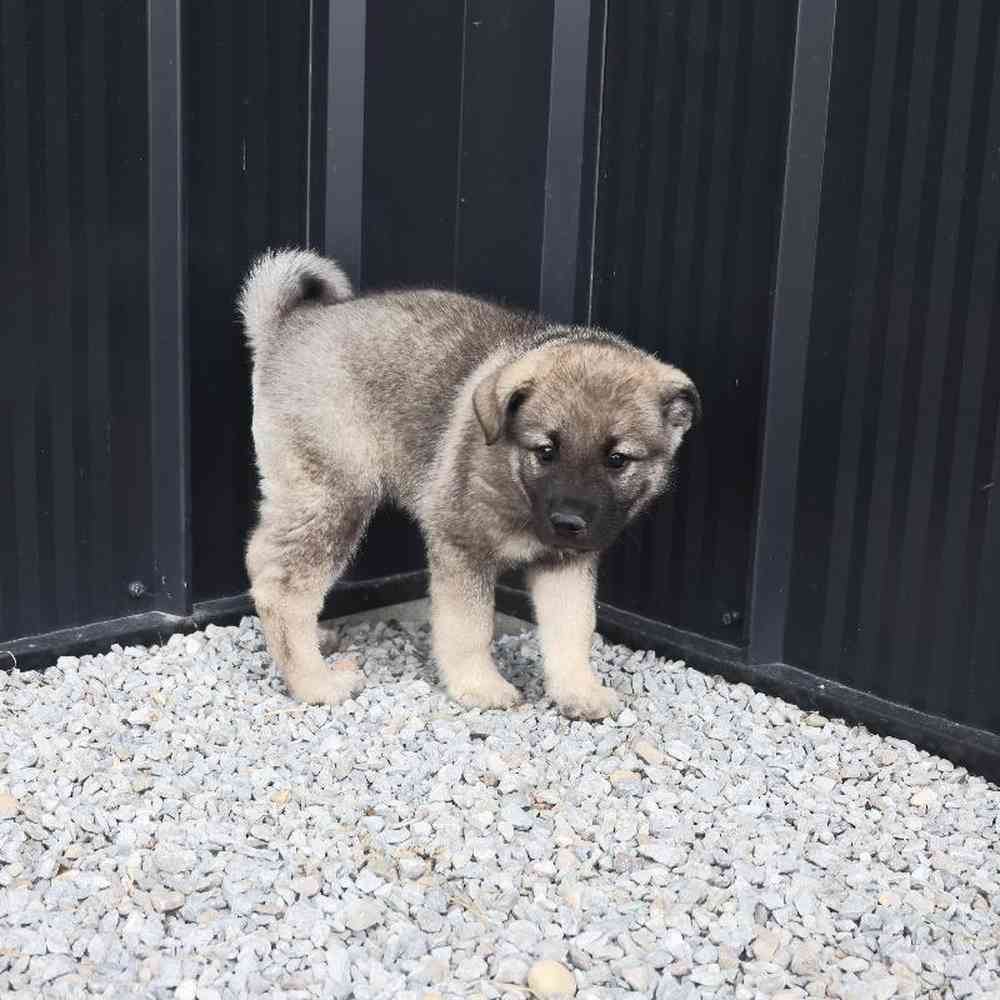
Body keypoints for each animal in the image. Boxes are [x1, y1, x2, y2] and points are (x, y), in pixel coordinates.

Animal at [239, 250, 700, 720]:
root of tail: (287, 326)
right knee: (285, 587)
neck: (515, 481)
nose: (568, 522)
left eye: (617, 459)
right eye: (546, 451)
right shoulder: (461, 547)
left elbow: (573, 627)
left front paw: (577, 689)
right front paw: (480, 686)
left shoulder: (567, 563)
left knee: (263, 558)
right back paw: (315, 682)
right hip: (335, 495)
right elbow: (470, 626)